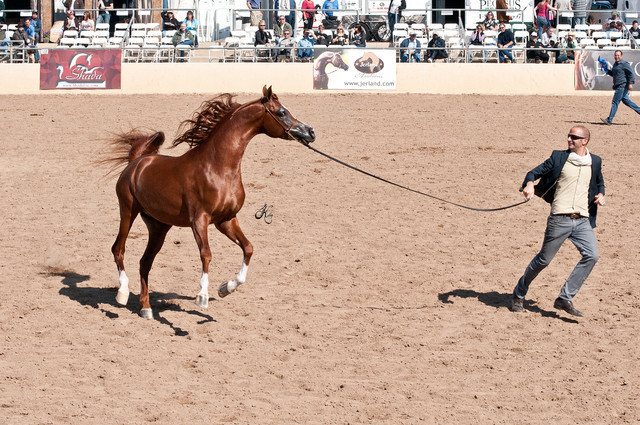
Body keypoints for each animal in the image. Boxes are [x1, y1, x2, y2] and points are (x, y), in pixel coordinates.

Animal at [107, 86, 316, 319]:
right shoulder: (199, 220)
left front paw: (226, 288)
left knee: (145, 262)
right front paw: (202, 297)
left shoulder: (226, 220)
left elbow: (248, 248)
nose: (310, 132)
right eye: (281, 112)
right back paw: (123, 293)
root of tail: (136, 162)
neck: (217, 167)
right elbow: (206, 254)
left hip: (159, 226)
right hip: (128, 210)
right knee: (118, 249)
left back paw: (146, 308)